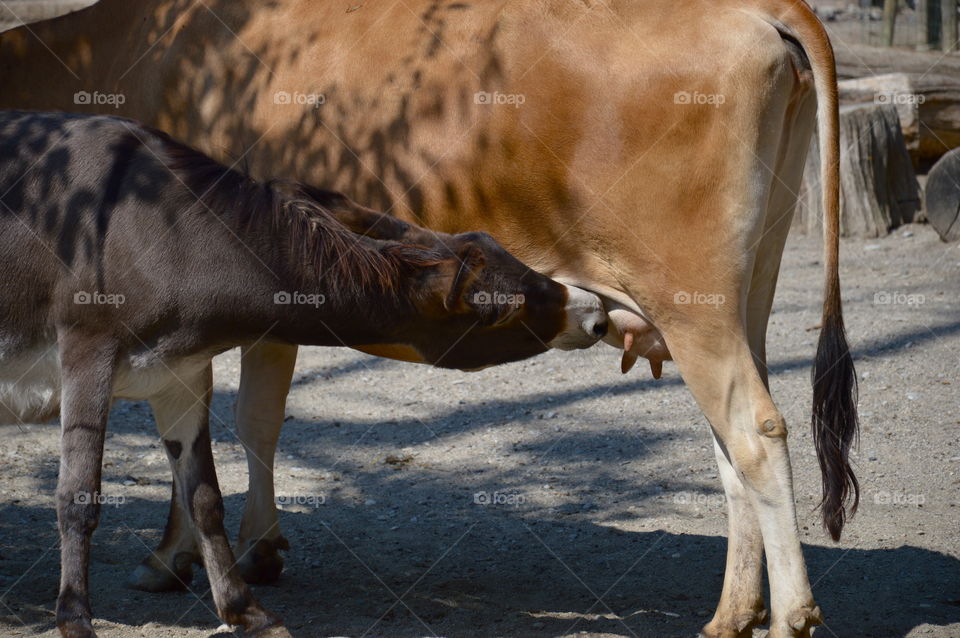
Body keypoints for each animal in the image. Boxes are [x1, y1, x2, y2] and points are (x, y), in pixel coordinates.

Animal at [0, 2, 856, 636]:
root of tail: (754, 10)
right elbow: (252, 422)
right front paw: (248, 550)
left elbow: (226, 427)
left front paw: (184, 556)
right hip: (736, 298)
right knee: (728, 444)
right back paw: (734, 612)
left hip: (690, 298)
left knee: (754, 430)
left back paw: (790, 616)